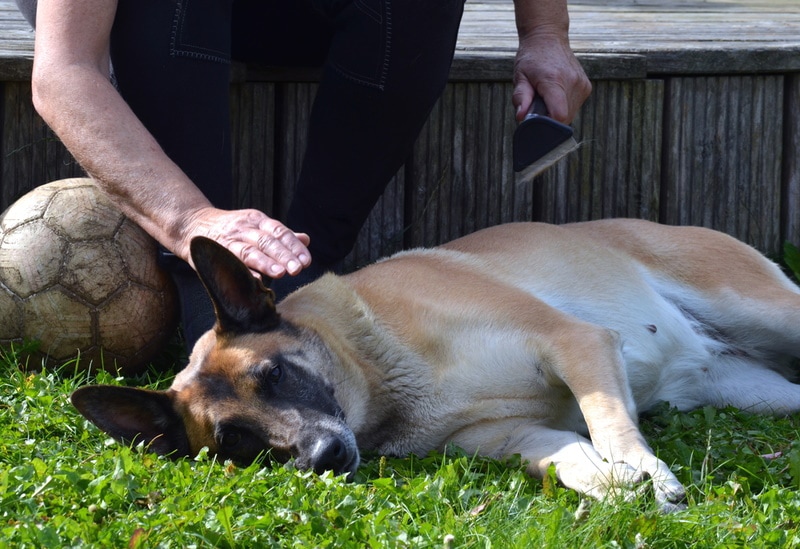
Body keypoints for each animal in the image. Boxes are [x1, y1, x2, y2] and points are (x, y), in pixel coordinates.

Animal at [67, 218, 800, 510]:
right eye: (236, 440)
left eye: (273, 375)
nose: (325, 456)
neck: (385, 368)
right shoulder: (521, 436)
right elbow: (574, 456)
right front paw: (618, 487)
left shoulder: (576, 341)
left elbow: (609, 420)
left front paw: (644, 469)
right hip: (758, 390)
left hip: (766, 309)